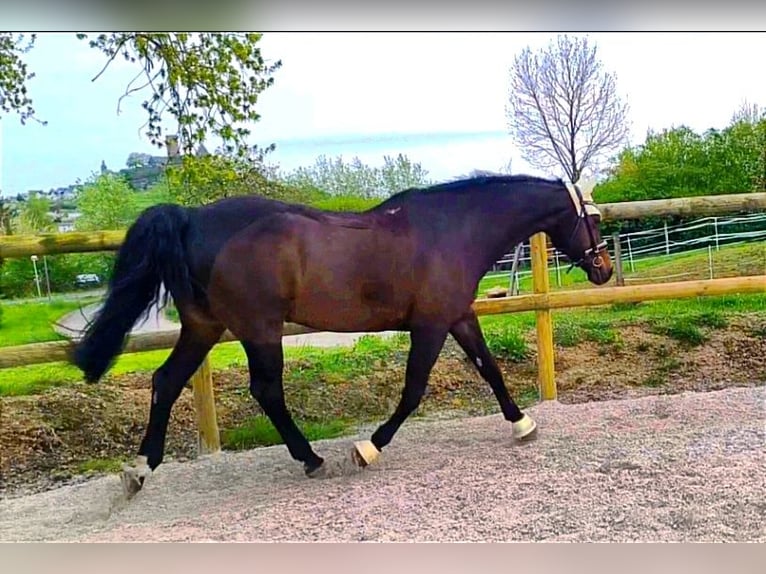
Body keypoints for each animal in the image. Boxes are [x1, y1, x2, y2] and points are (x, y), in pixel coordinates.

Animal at [69, 173, 616, 498]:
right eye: (591, 217)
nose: (605, 269)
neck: (453, 230)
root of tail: (192, 217)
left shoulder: (458, 317)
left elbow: (490, 368)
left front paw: (523, 424)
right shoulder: (431, 325)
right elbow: (414, 390)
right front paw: (368, 448)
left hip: (205, 327)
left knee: (166, 381)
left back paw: (141, 468)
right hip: (259, 330)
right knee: (265, 391)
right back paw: (311, 459)